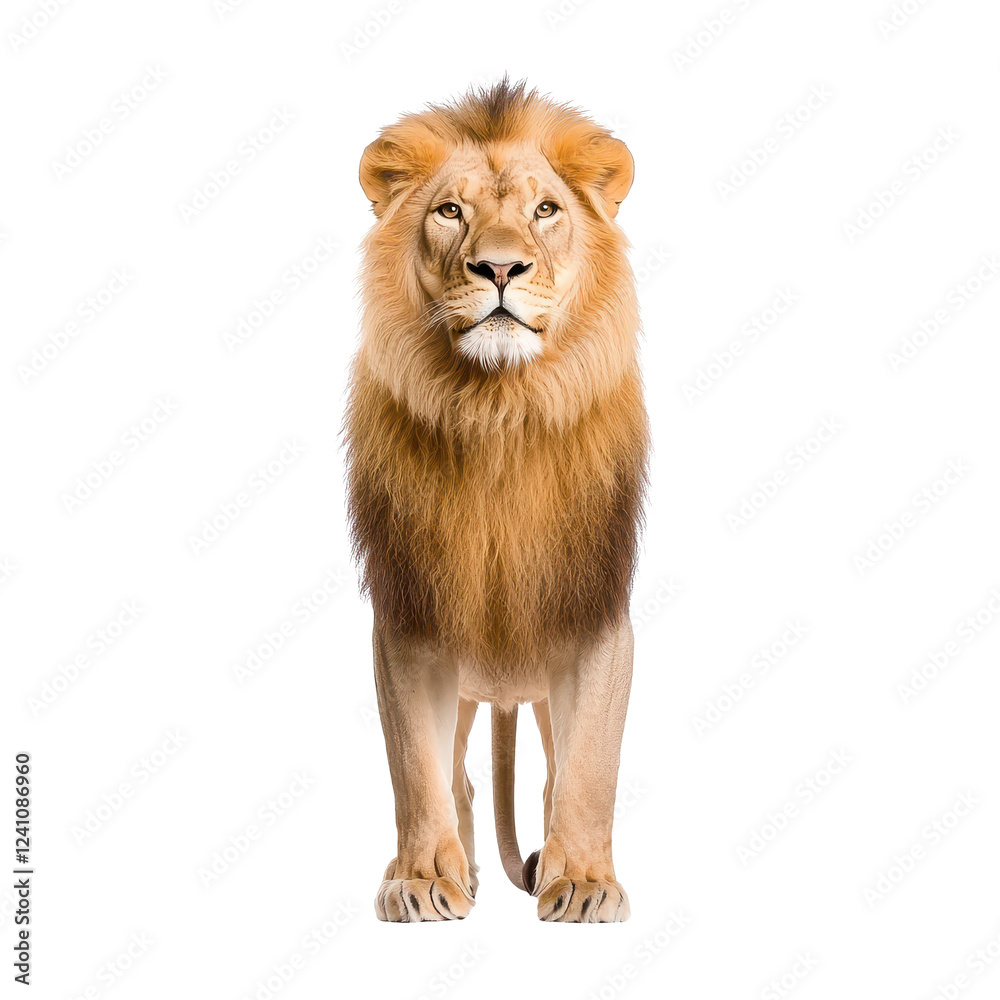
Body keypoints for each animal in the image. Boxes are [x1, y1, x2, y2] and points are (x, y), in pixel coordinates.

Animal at [345, 79, 648, 922]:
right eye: (451, 211)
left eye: (546, 210)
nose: (501, 268)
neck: (499, 410)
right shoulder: (410, 614)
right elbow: (415, 770)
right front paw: (422, 879)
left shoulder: (594, 606)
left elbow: (589, 770)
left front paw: (585, 881)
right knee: (457, 779)